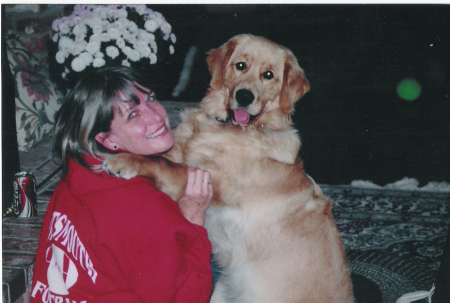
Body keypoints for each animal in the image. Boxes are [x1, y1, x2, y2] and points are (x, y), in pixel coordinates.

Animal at [103, 33, 354, 303]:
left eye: (268, 75)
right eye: (240, 65)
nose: (244, 96)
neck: (228, 127)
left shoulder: (207, 180)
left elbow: (162, 163)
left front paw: (122, 160)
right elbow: (162, 155)